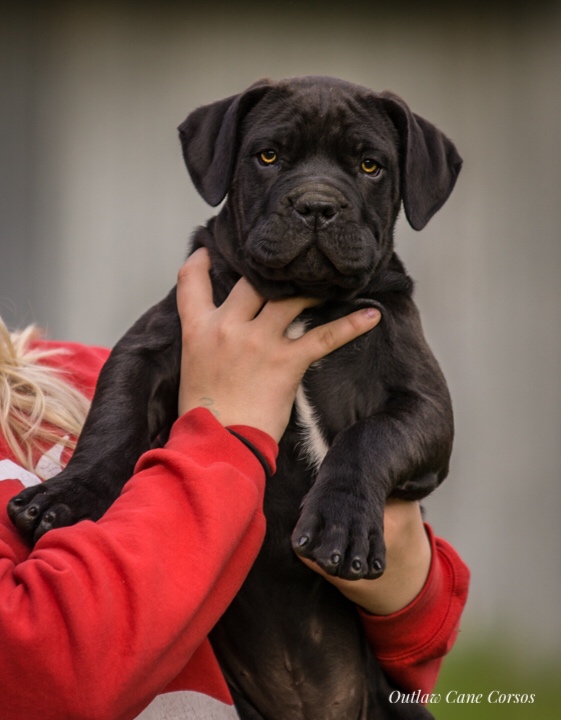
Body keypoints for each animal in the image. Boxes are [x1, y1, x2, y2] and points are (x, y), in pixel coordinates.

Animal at [9, 76, 460, 716]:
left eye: (370, 166)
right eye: (267, 156)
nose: (316, 205)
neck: (302, 301)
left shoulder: (426, 406)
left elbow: (366, 438)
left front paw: (340, 523)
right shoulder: (146, 349)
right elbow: (112, 425)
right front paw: (66, 496)